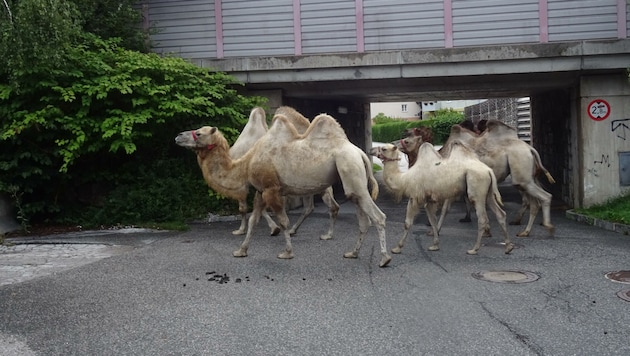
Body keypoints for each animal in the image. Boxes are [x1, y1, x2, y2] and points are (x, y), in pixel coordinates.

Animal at [175, 111, 392, 268]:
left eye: (199, 133)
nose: (178, 135)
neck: (246, 164)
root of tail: (361, 153)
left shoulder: (272, 189)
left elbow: (284, 221)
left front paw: (287, 252)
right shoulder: (260, 191)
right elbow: (254, 220)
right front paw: (241, 250)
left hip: (349, 168)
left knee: (378, 217)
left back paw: (384, 258)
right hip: (353, 179)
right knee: (363, 219)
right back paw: (352, 253)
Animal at [370, 140, 512, 254]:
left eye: (384, 148)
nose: (371, 150)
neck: (405, 179)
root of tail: (489, 171)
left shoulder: (415, 197)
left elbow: (407, 223)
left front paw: (397, 248)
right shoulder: (429, 200)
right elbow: (432, 221)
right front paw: (435, 245)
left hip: (476, 190)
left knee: (482, 218)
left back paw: (474, 249)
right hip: (488, 193)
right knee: (501, 213)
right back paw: (508, 247)